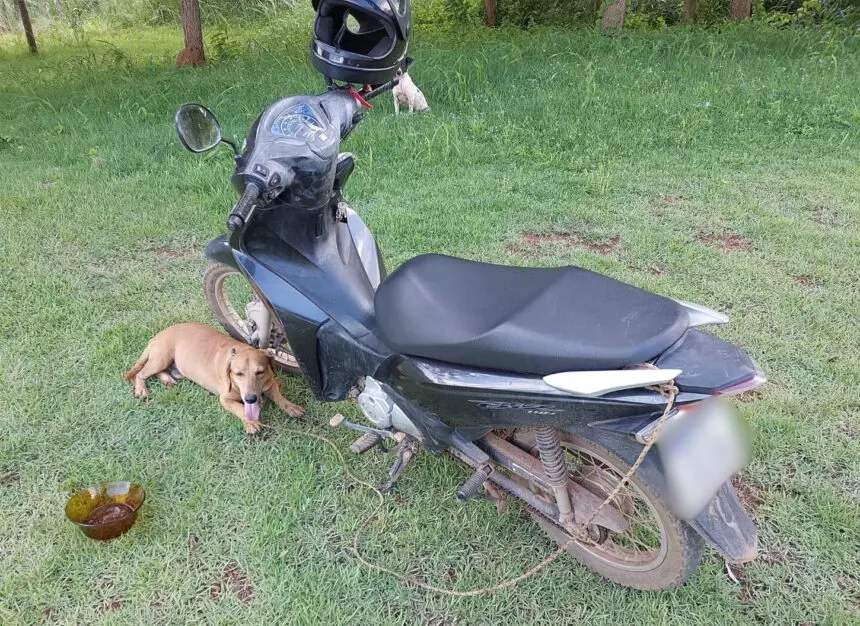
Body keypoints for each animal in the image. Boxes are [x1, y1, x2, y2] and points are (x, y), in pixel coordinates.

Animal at [124, 324, 306, 432]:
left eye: (260, 372)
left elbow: (278, 396)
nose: (251, 399)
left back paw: (167, 379)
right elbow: (239, 408)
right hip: (161, 357)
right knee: (141, 373)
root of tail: (158, 335)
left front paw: (290, 406)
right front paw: (250, 422)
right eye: (238, 373)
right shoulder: (225, 399)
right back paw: (142, 389)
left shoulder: (269, 383)